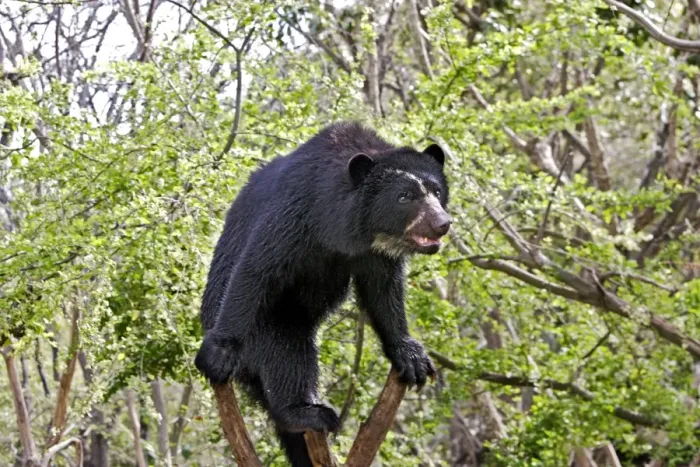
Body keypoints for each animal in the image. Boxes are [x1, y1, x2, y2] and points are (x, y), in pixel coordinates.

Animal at [195, 121, 451, 466]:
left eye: (437, 192)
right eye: (405, 196)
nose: (442, 223)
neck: (344, 229)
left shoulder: (374, 255)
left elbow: (384, 293)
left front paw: (412, 359)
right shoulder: (296, 211)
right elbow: (257, 267)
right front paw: (217, 354)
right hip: (267, 324)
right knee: (287, 355)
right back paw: (307, 413)